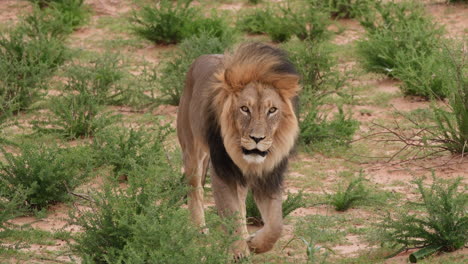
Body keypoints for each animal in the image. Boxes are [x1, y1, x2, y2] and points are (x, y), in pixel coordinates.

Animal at [177, 42, 302, 258]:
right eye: (244, 109)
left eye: (272, 110)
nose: (257, 138)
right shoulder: (222, 173)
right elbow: (231, 213)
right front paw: (240, 253)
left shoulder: (269, 177)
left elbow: (275, 225)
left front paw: (254, 244)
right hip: (192, 151)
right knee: (195, 189)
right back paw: (199, 229)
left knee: (242, 205)